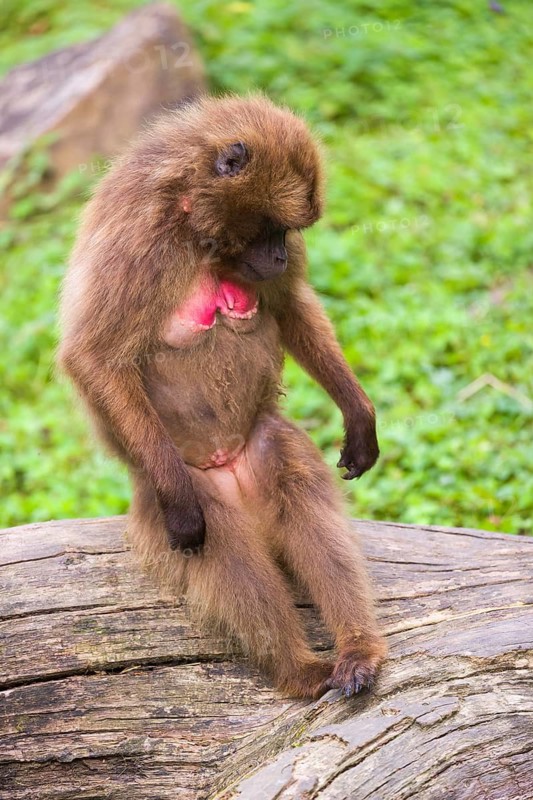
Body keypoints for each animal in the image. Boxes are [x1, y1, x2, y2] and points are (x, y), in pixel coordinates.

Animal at [58, 94, 387, 699]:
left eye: (287, 231)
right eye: (270, 227)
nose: (280, 257)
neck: (192, 226)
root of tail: (233, 469)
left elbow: (289, 304)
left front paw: (359, 417)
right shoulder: (139, 241)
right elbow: (94, 356)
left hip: (263, 442)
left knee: (300, 494)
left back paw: (356, 652)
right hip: (175, 482)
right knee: (227, 549)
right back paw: (300, 671)